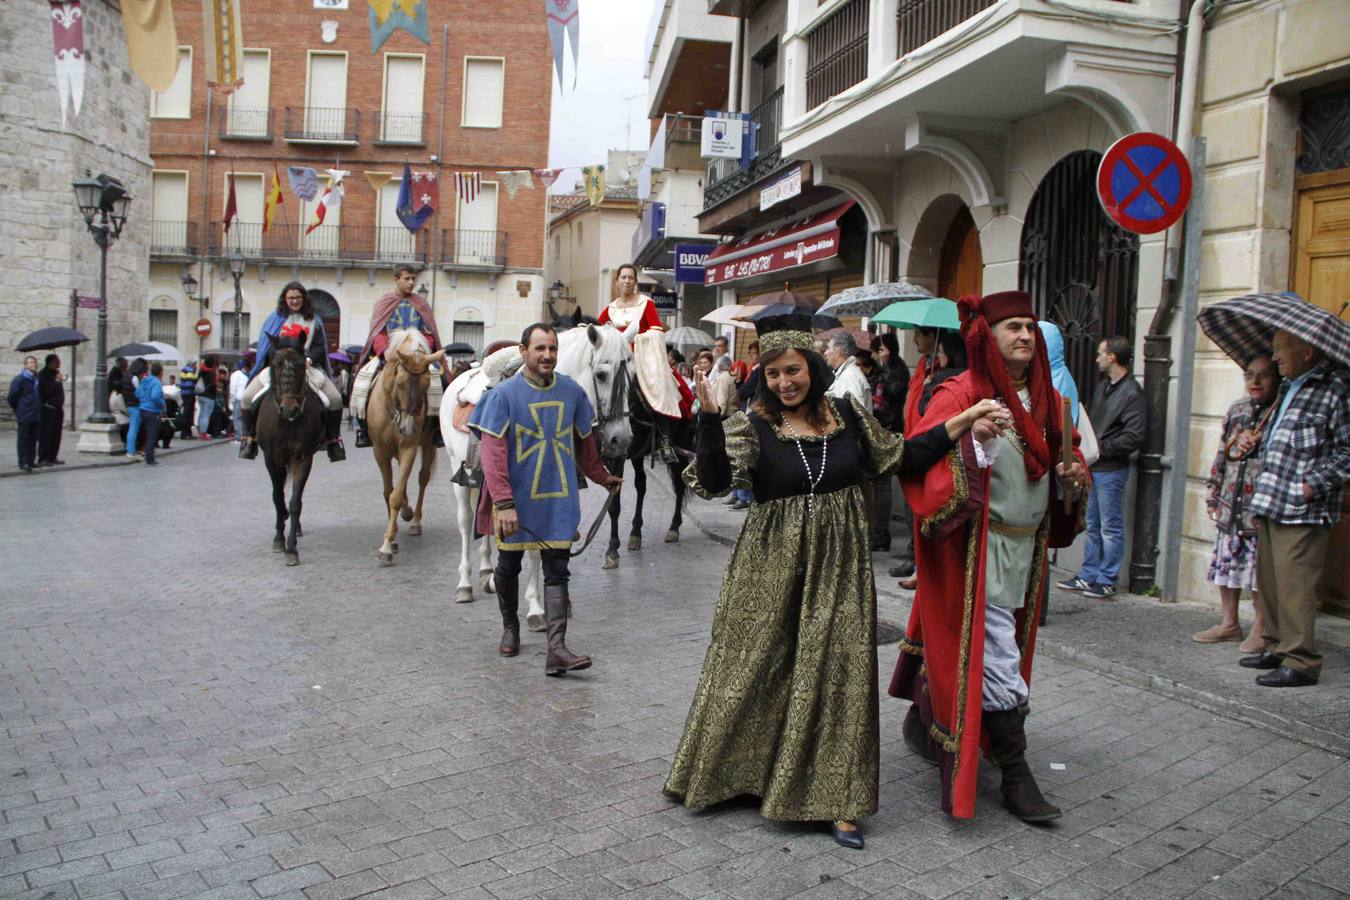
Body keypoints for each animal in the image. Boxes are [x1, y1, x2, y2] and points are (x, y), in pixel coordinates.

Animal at [255, 334, 324, 566]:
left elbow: (295, 502)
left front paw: (292, 549)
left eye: (302, 364)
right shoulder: (270, 458)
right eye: (275, 364)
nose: (290, 408)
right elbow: (277, 497)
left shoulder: (302, 458)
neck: (286, 423)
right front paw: (279, 538)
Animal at [367, 334, 445, 566]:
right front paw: (391, 540)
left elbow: (396, 494)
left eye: (427, 383)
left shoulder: (409, 448)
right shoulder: (380, 452)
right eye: (400, 382)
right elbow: (389, 492)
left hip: (428, 445)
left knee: (422, 479)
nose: (408, 428)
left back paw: (415, 520)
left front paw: (386, 545)